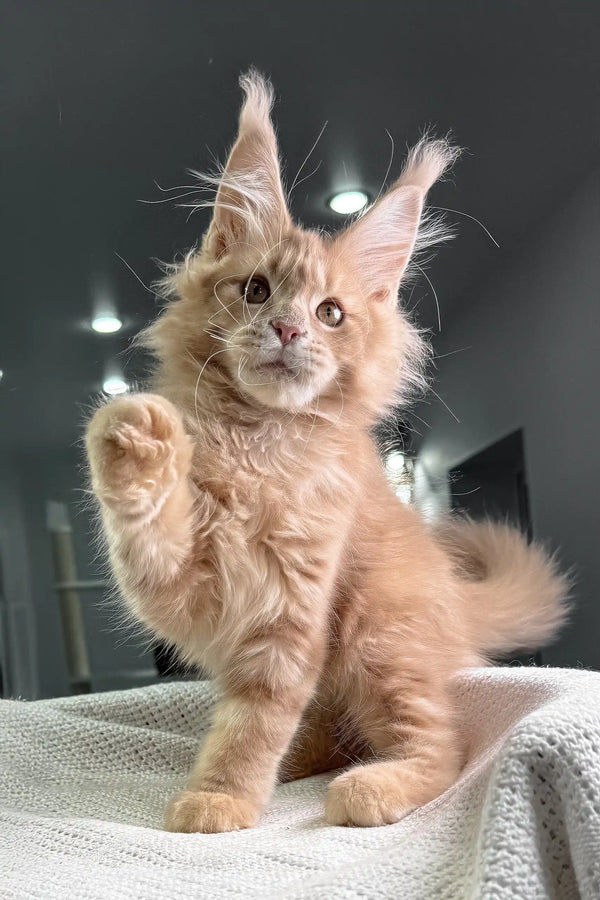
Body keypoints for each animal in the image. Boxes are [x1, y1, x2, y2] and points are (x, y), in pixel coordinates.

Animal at [84, 74, 568, 832]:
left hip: (380, 636)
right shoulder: (182, 594)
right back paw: (301, 764)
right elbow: (148, 537)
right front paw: (136, 441)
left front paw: (222, 795)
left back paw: (371, 786)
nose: (286, 328)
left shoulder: (293, 609)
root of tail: (455, 599)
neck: (258, 446)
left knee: (445, 748)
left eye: (330, 313)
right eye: (256, 290)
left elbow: (256, 720)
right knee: (329, 730)